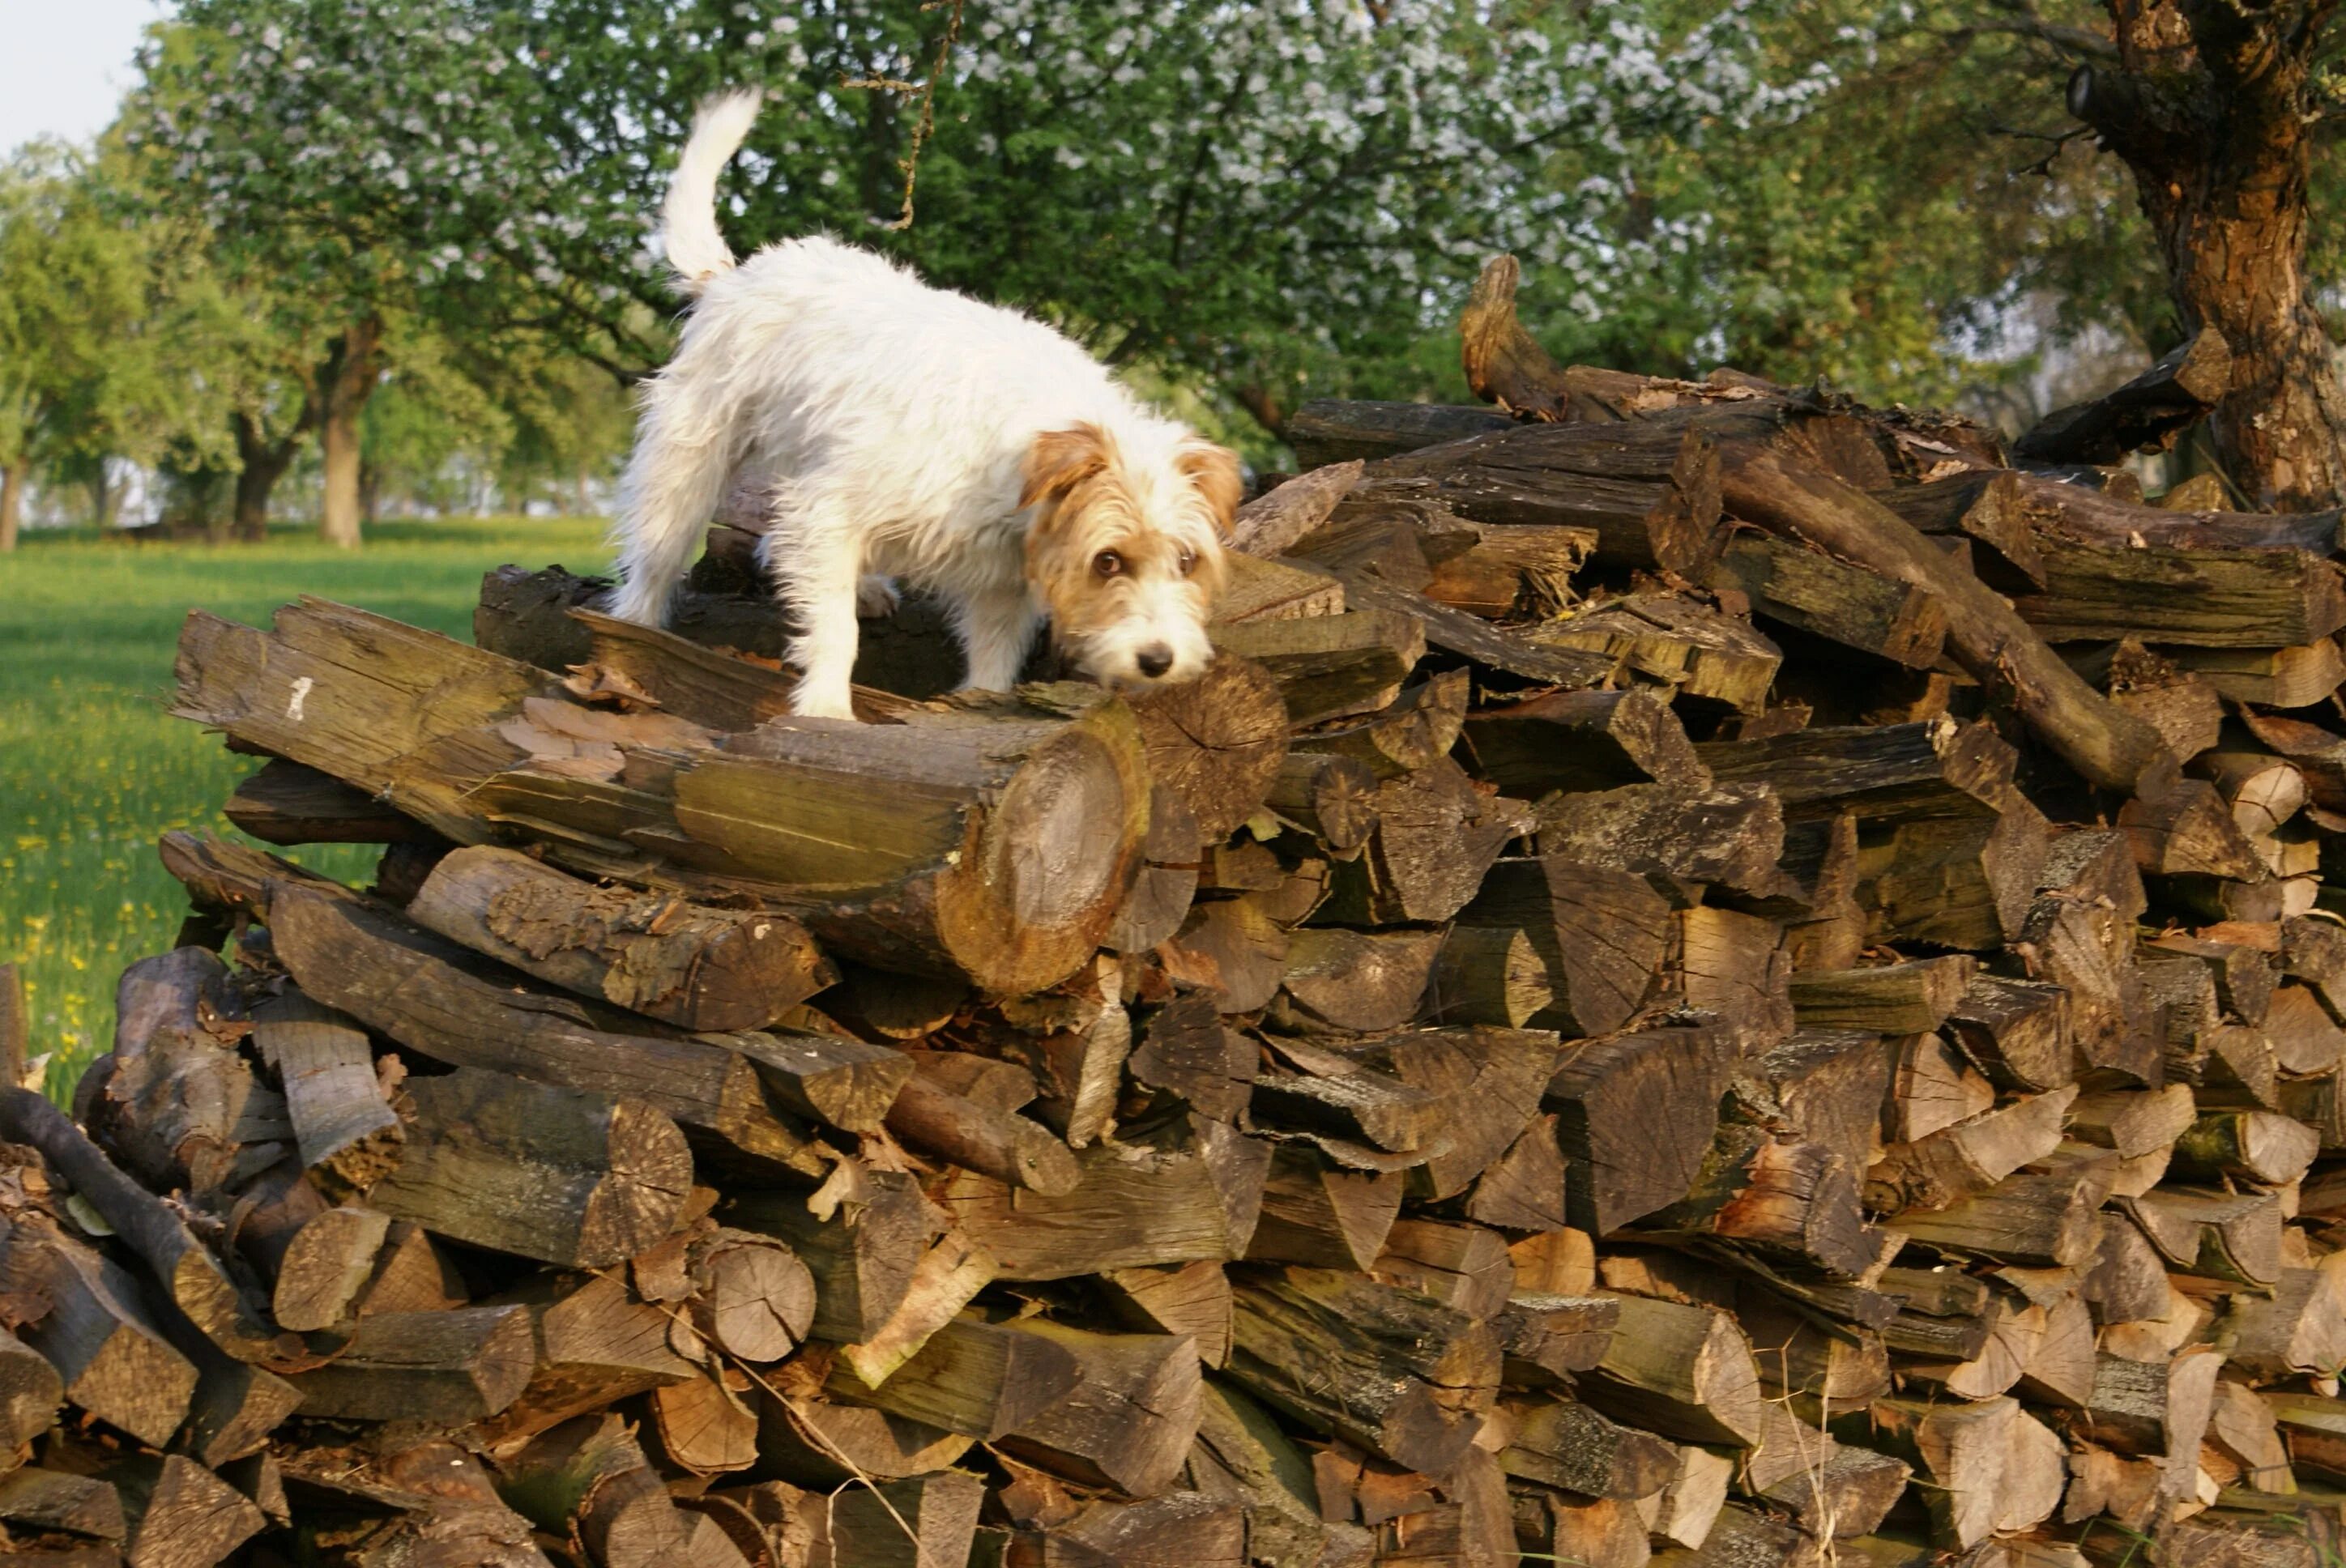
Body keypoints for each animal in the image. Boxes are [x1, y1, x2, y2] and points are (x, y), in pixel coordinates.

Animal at [605, 90, 1248, 717]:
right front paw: (826, 708)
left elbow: (994, 654)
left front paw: (978, 705)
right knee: (658, 556)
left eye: (1186, 562)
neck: (1018, 451)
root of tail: (733, 277)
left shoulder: (1003, 579)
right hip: (688, 462)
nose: (1159, 661)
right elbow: (834, 629)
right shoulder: (829, 509)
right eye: (1108, 561)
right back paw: (636, 625)